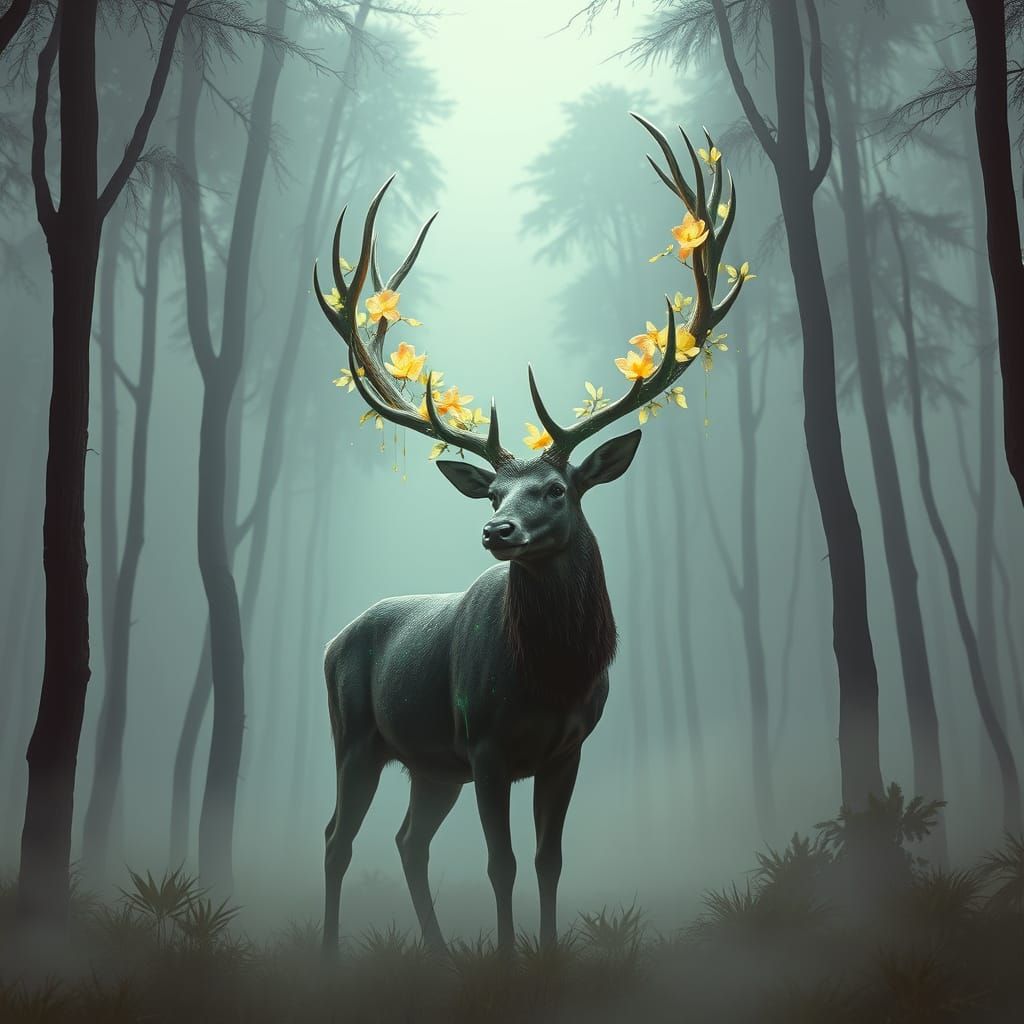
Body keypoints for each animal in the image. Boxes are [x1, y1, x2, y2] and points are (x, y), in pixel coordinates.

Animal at [311, 115, 749, 955]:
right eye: (493, 491)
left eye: (556, 490)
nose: (499, 529)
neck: (549, 678)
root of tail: (332, 637)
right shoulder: (483, 744)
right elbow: (501, 864)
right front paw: (510, 964)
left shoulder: (568, 748)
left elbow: (549, 861)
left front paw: (544, 959)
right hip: (356, 734)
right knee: (337, 838)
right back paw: (331, 956)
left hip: (430, 765)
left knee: (407, 840)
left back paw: (438, 955)